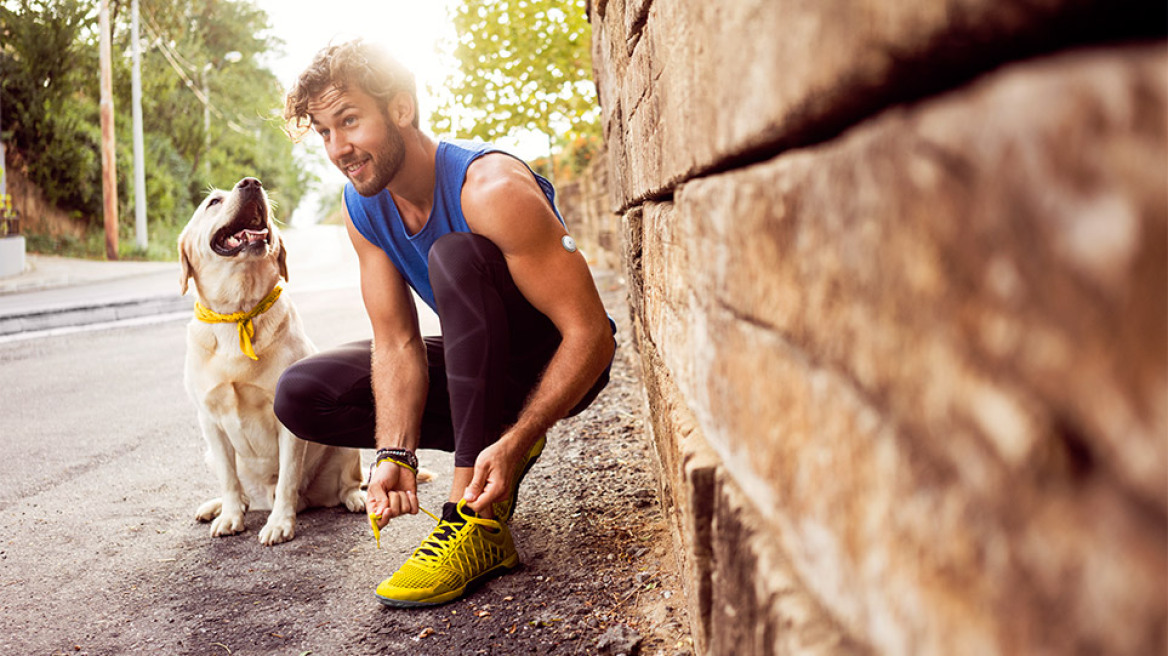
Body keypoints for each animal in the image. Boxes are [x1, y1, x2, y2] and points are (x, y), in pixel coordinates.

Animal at [179, 173, 362, 541]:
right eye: (213, 202)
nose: (251, 182)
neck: (238, 312)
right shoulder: (209, 421)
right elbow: (229, 479)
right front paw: (230, 516)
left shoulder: (287, 423)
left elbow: (288, 477)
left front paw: (279, 523)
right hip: (209, 454)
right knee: (243, 493)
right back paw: (218, 506)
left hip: (346, 444)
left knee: (348, 484)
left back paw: (357, 499)